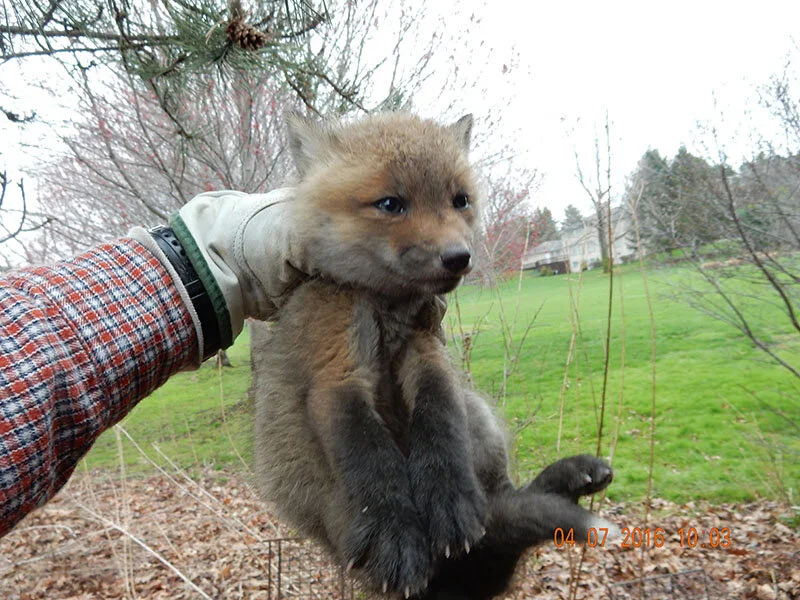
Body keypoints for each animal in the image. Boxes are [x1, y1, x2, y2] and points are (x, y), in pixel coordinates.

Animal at [252, 112, 616, 600]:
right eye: (390, 204)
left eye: (460, 200)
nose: (459, 257)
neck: (389, 311)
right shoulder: (336, 370)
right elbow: (372, 458)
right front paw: (394, 530)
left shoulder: (427, 350)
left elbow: (440, 425)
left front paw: (448, 498)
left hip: (478, 414)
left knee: (503, 502)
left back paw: (561, 482)